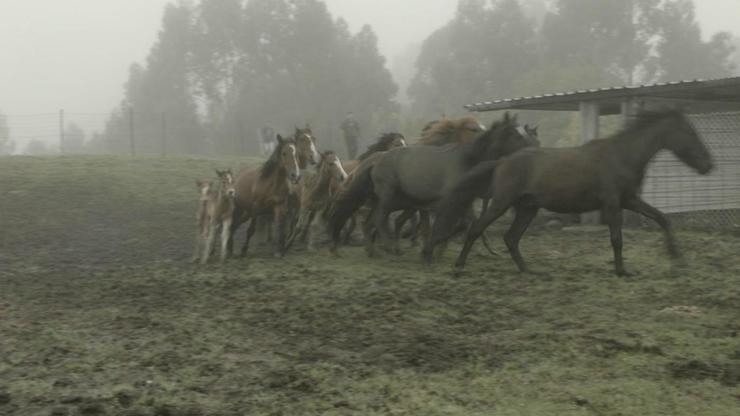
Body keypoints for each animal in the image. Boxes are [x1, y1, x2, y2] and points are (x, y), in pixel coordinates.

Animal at [330, 114, 536, 256]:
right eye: (472, 128)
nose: (533, 148)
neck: (465, 159)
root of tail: (375, 160)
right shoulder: (441, 203)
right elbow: (441, 225)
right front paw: (431, 249)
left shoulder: (458, 202)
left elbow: (463, 223)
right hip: (388, 197)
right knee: (379, 218)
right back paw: (387, 247)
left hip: (388, 200)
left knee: (373, 221)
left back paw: (376, 250)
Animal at [424, 109, 712, 276]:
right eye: (689, 132)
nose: (708, 165)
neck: (621, 156)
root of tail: (503, 161)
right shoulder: (612, 203)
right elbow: (617, 238)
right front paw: (622, 271)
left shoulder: (629, 200)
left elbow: (662, 218)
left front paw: (677, 257)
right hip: (501, 203)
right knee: (478, 229)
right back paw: (458, 267)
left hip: (527, 208)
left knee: (511, 238)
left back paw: (528, 270)